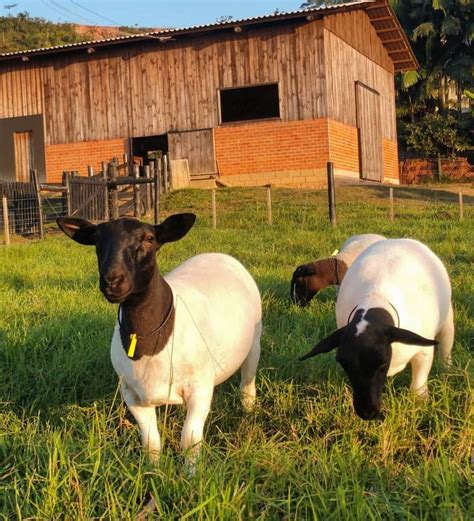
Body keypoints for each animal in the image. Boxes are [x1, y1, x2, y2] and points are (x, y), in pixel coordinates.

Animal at [57, 215, 262, 464]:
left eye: (149, 239)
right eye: (96, 238)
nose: (112, 280)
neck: (148, 341)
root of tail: (218, 254)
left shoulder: (200, 389)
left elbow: (189, 441)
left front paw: (190, 471)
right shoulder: (132, 394)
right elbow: (151, 442)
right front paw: (152, 469)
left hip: (254, 343)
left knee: (247, 383)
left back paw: (248, 413)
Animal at [298, 239, 454, 418]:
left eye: (382, 363)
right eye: (343, 363)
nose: (367, 413)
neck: (375, 298)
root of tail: (399, 240)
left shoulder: (423, 353)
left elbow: (418, 386)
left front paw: (420, 404)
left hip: (447, 320)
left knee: (446, 347)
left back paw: (447, 372)